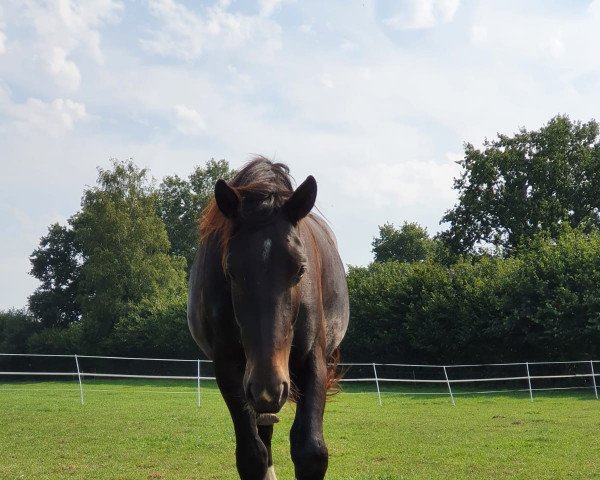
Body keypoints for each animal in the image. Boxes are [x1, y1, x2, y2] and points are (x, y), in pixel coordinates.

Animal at [186, 158, 346, 480]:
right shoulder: (229, 367)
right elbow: (252, 455)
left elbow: (311, 451)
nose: (268, 387)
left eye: (300, 269)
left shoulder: (313, 358)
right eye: (231, 271)